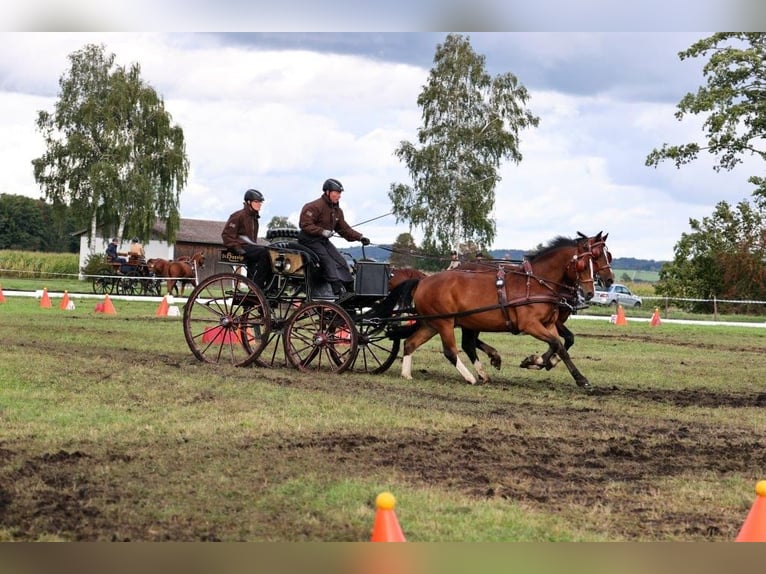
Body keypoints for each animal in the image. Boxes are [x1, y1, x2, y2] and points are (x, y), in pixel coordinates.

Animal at [377, 235, 598, 387]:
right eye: (583, 264)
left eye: (595, 260)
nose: (589, 292)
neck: (536, 283)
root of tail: (422, 280)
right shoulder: (530, 325)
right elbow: (557, 343)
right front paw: (536, 361)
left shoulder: (549, 324)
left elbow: (560, 346)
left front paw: (574, 376)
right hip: (445, 322)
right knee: (451, 351)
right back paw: (471, 378)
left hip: (432, 323)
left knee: (410, 343)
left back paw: (407, 374)